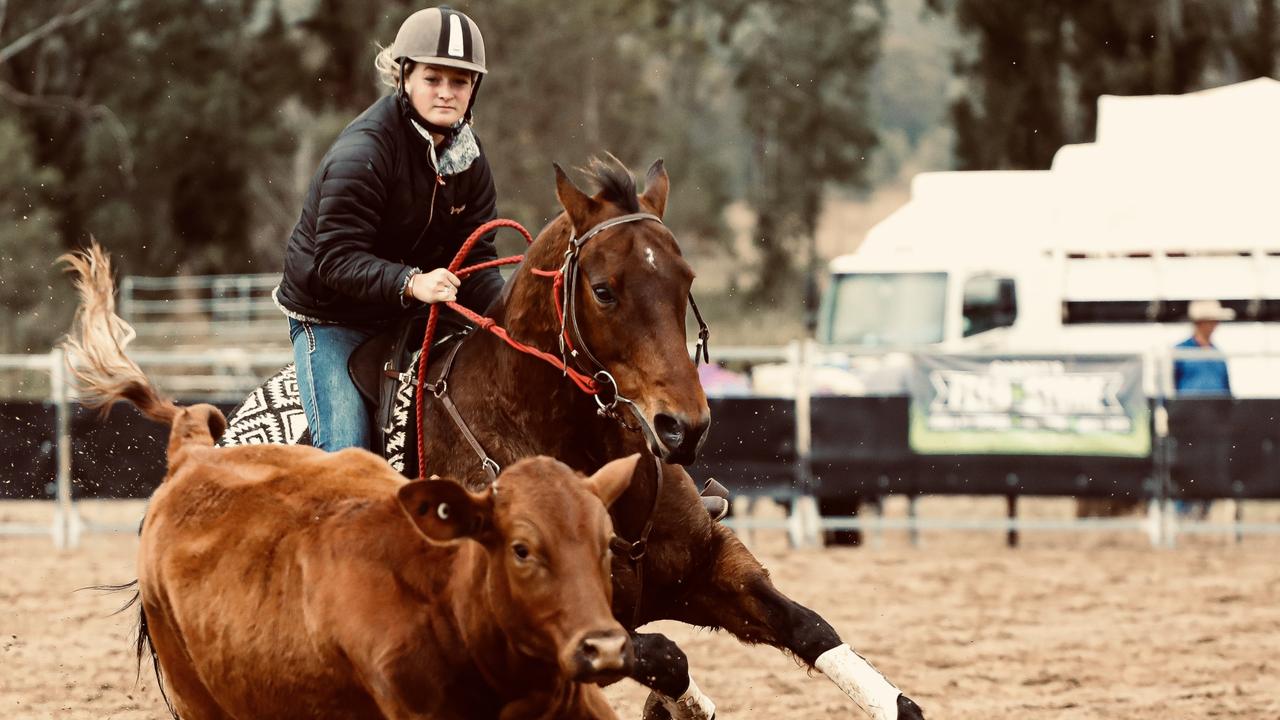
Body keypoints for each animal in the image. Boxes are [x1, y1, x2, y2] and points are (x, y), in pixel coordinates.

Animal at [220, 158, 921, 717]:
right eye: (604, 290)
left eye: (686, 281)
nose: (684, 426)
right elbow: (666, 657)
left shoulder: (709, 564)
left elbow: (809, 630)